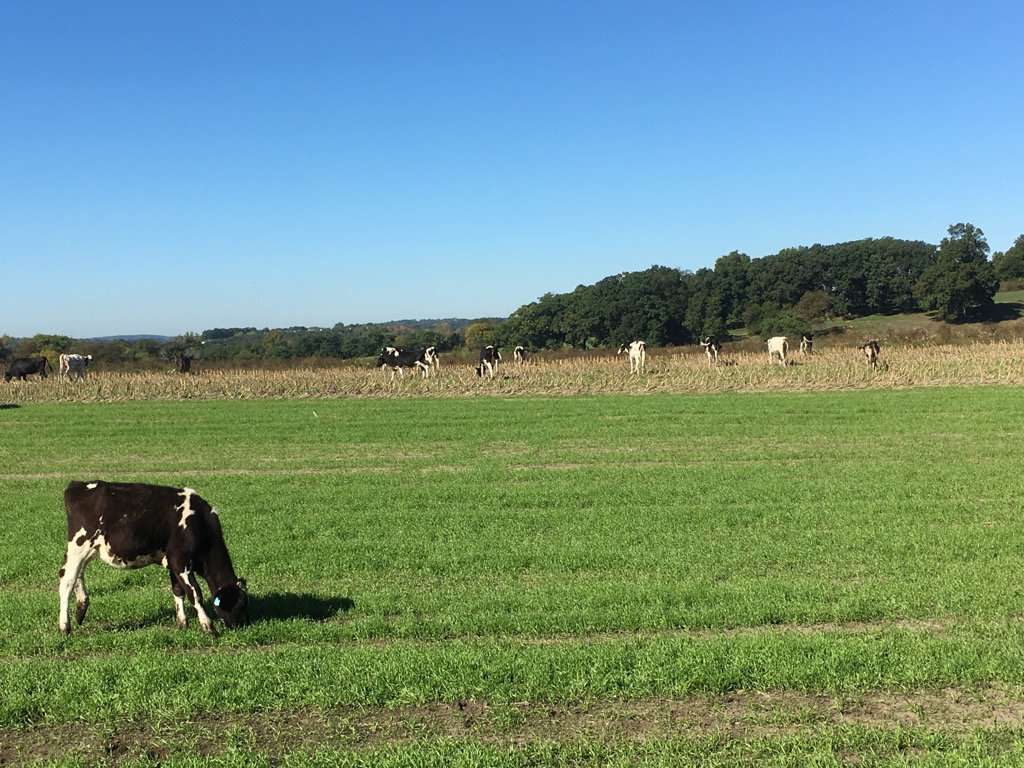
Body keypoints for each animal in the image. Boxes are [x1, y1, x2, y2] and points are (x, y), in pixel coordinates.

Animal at [58, 481, 248, 635]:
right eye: (239, 604)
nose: (239, 626)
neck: (198, 522)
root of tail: (77, 485)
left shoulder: (172, 562)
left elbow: (178, 591)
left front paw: (183, 624)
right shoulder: (180, 560)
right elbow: (195, 593)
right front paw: (208, 626)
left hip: (88, 550)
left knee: (78, 574)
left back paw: (81, 610)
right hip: (79, 545)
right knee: (67, 579)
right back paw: (64, 626)